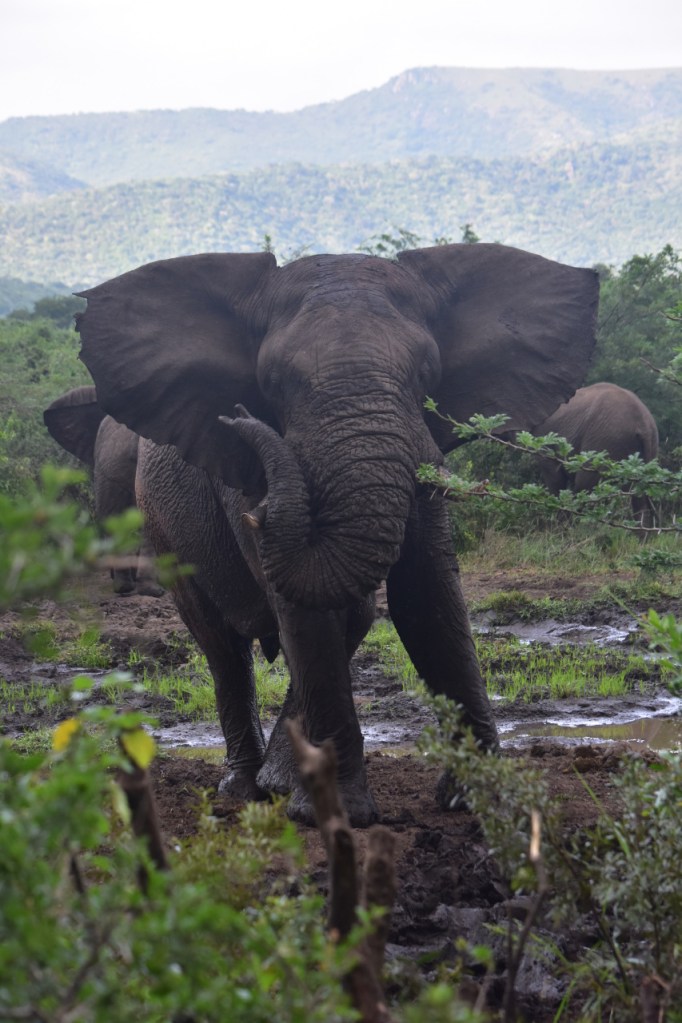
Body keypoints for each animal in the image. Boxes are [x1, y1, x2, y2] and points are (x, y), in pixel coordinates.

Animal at [74, 243, 599, 825]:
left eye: (427, 372)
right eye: (273, 383)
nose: (237, 418)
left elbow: (428, 598)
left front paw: (481, 800)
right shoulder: (248, 483)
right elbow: (307, 606)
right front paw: (338, 814)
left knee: (350, 615)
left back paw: (278, 779)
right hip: (163, 528)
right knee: (221, 644)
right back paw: (245, 787)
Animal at [532, 382, 659, 527]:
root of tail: (643, 424)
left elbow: (555, 478)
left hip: (606, 440)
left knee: (584, 486)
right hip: (649, 446)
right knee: (639, 497)